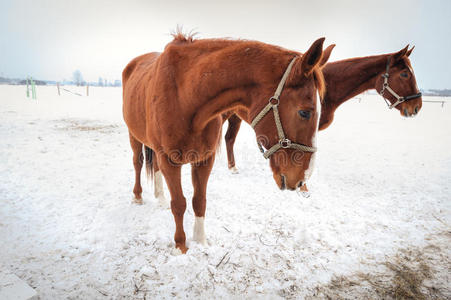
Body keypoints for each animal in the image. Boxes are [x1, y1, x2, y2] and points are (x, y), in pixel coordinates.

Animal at [122, 33, 334, 253]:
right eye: (304, 112)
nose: (302, 179)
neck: (184, 98)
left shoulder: (204, 160)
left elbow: (199, 201)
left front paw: (201, 241)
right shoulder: (169, 160)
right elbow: (179, 204)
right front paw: (181, 246)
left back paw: (160, 197)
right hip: (133, 136)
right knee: (138, 164)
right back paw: (138, 196)